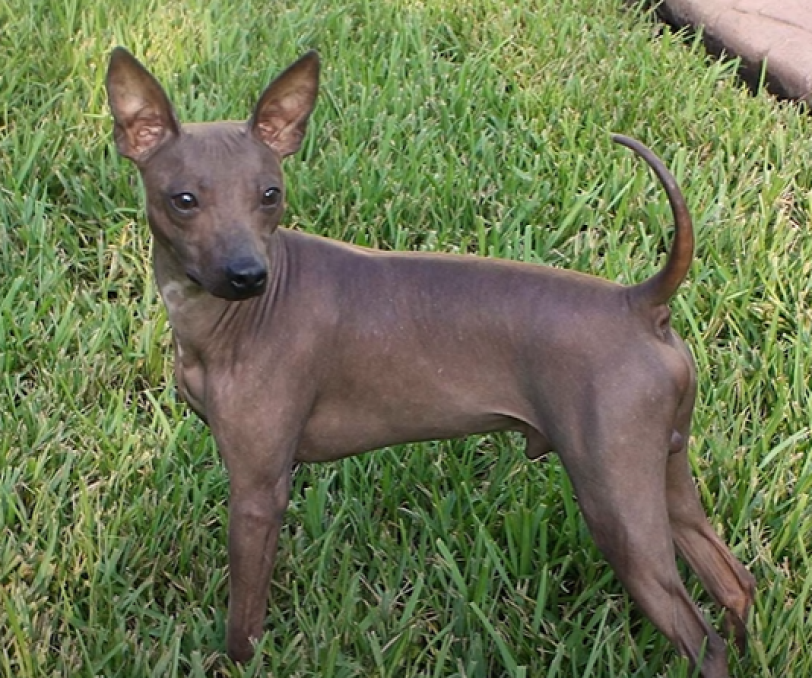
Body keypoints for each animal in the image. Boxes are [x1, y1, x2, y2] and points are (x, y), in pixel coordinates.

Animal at [108, 49, 756, 678]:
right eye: (184, 200)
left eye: (270, 195)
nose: (248, 275)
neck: (223, 320)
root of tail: (639, 302)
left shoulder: (257, 491)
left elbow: (243, 624)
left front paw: (234, 664)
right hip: (664, 470)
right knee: (736, 583)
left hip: (615, 500)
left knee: (702, 640)